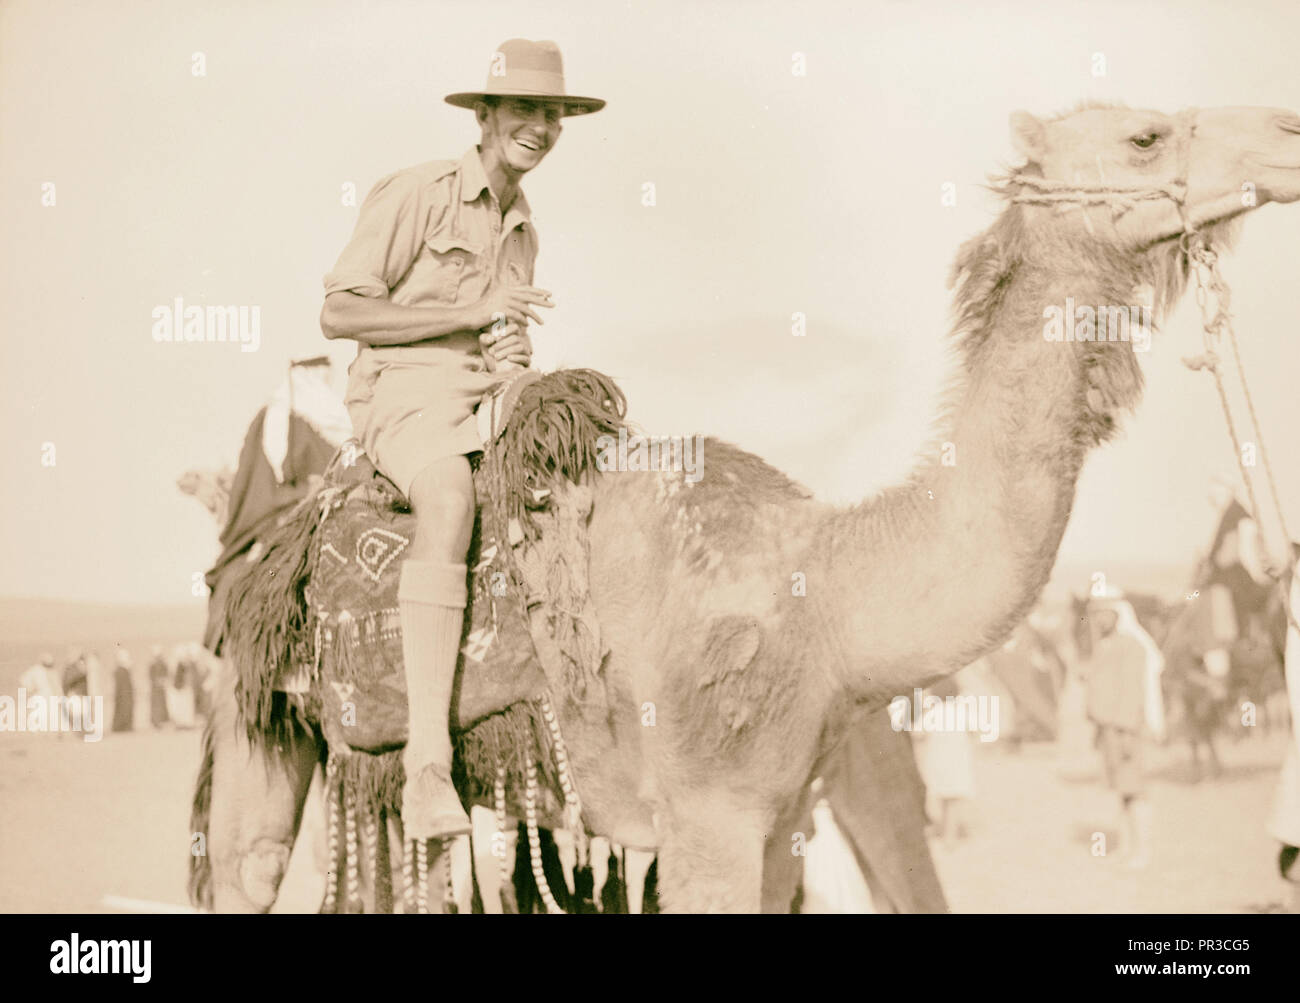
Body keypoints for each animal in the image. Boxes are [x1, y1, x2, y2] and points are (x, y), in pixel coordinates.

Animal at [200, 103, 1300, 914]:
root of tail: (266, 542)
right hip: (256, 713)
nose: (1286, 131)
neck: (829, 595)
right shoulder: (706, 817)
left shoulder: (782, 825)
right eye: (1145, 136)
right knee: (247, 865)